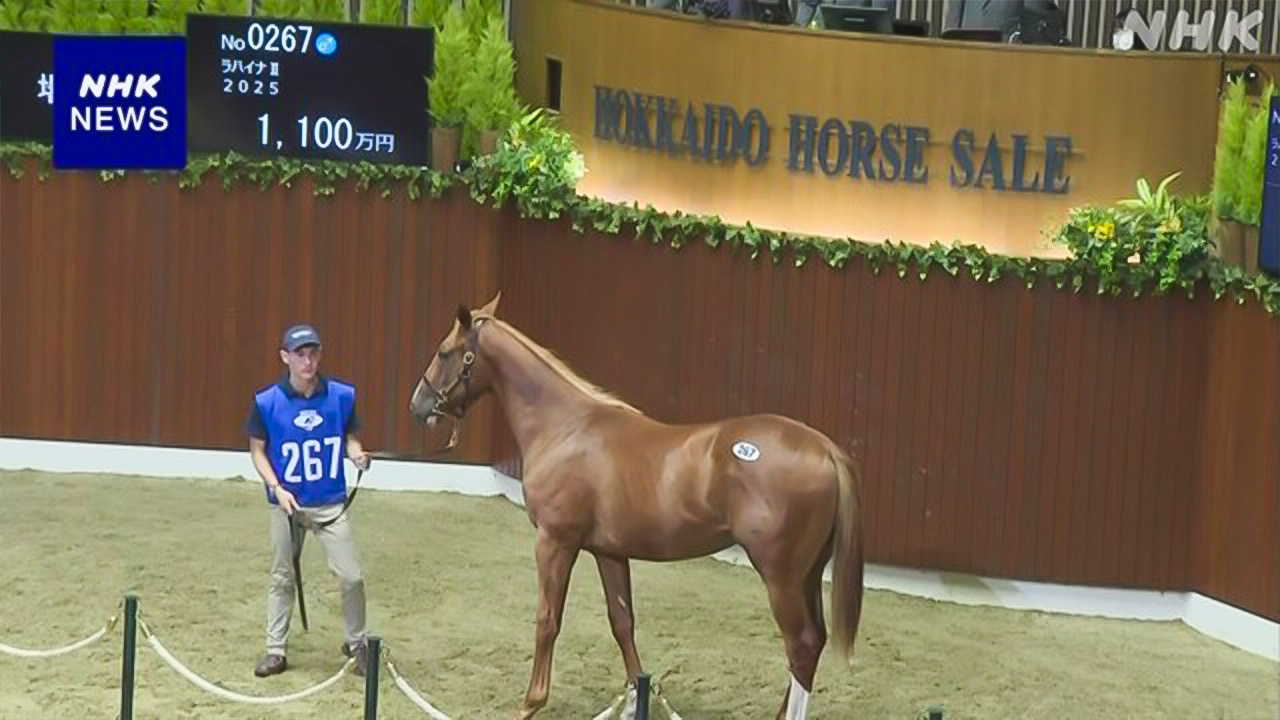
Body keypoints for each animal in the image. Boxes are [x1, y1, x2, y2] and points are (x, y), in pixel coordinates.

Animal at [408, 291, 865, 720]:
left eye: (445, 351)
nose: (417, 405)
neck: (567, 429)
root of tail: (824, 448)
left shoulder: (555, 542)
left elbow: (547, 620)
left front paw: (530, 703)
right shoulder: (609, 552)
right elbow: (622, 621)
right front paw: (632, 699)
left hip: (781, 577)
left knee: (800, 645)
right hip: (806, 575)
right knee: (813, 642)